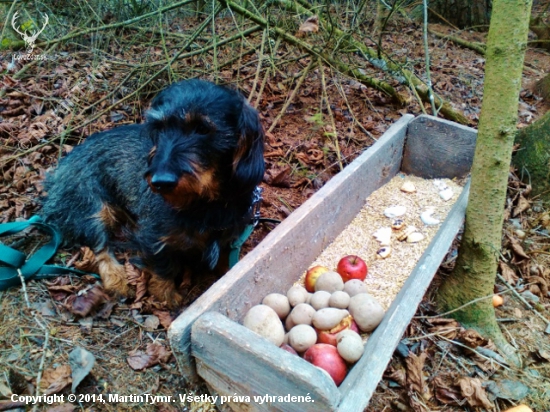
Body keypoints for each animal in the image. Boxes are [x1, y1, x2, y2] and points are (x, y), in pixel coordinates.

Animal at [42, 79, 266, 308]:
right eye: (160, 128)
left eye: (203, 128)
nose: (161, 182)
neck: (204, 203)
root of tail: (58, 171)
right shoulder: (154, 235)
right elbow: (163, 266)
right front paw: (165, 294)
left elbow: (224, 259)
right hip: (91, 208)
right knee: (100, 247)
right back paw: (117, 279)